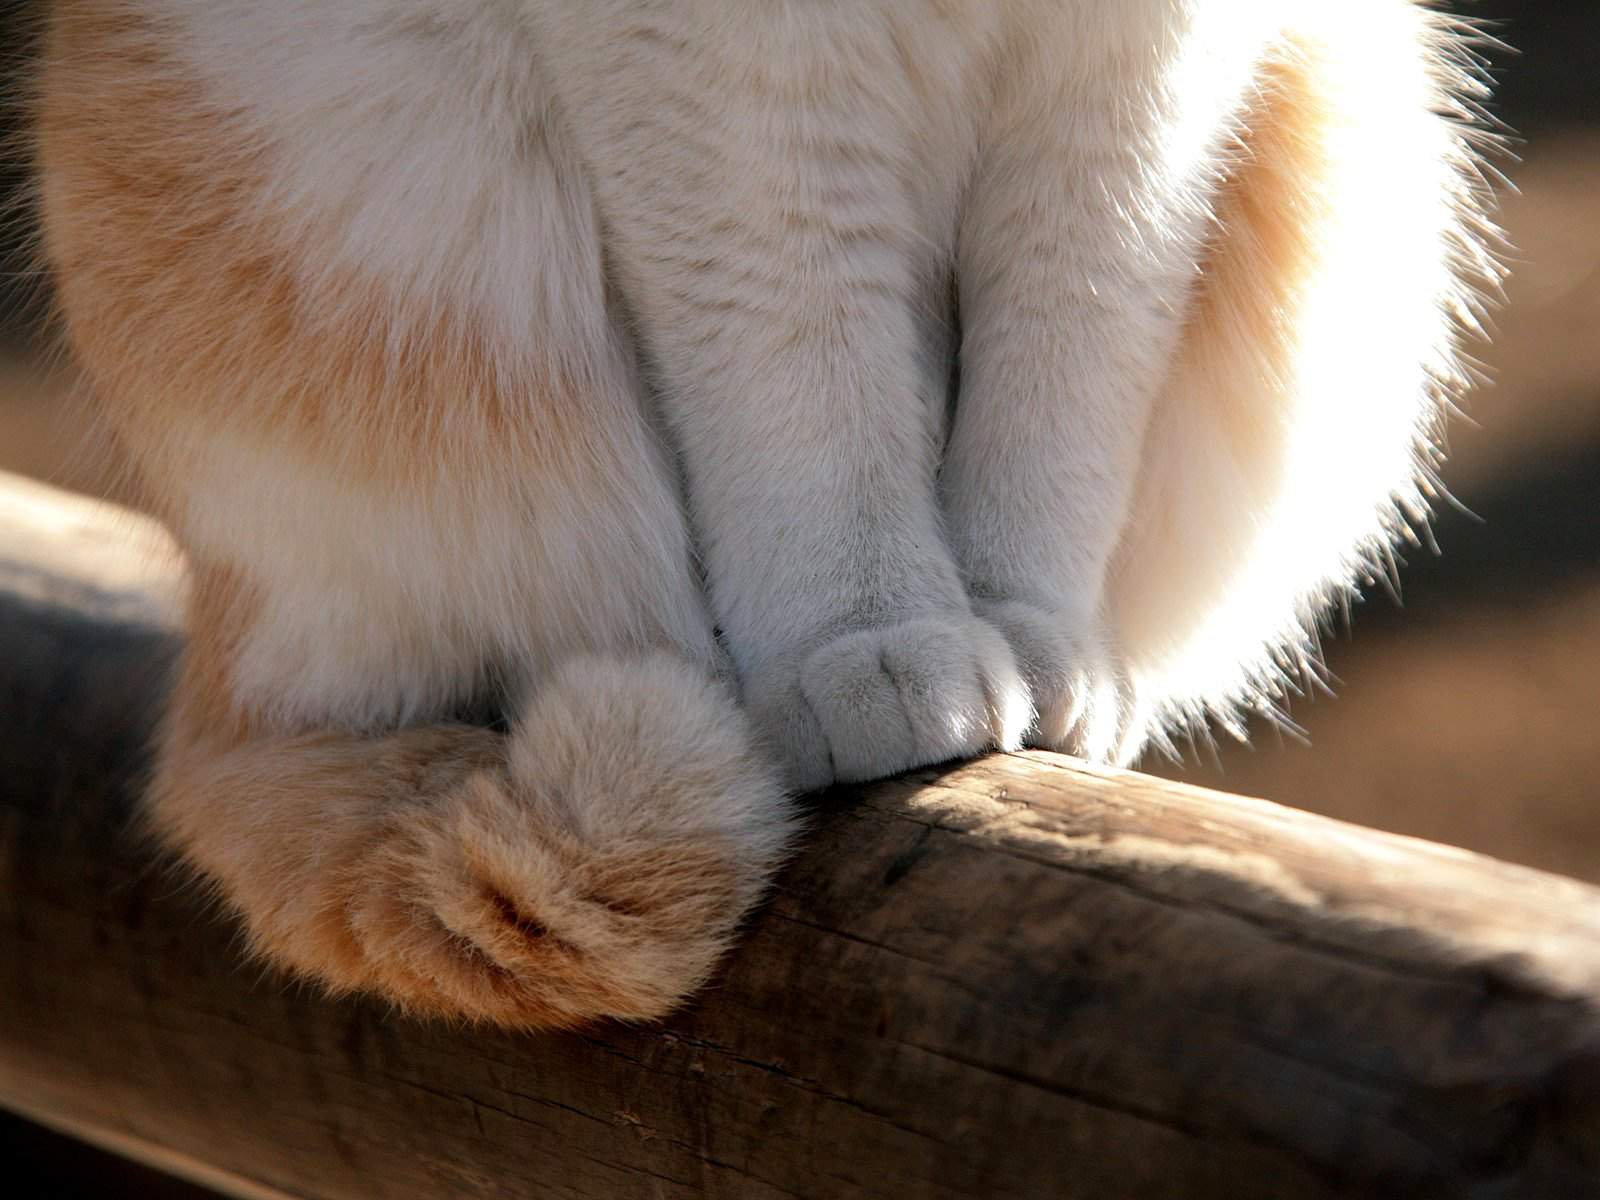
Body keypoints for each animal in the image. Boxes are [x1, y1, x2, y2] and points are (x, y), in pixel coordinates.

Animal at [34, 0, 1497, 1030]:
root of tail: (216, 655)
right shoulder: (723, 71)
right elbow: (807, 370)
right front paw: (874, 644)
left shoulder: (1145, 80)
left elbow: (1067, 350)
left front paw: (1036, 642)